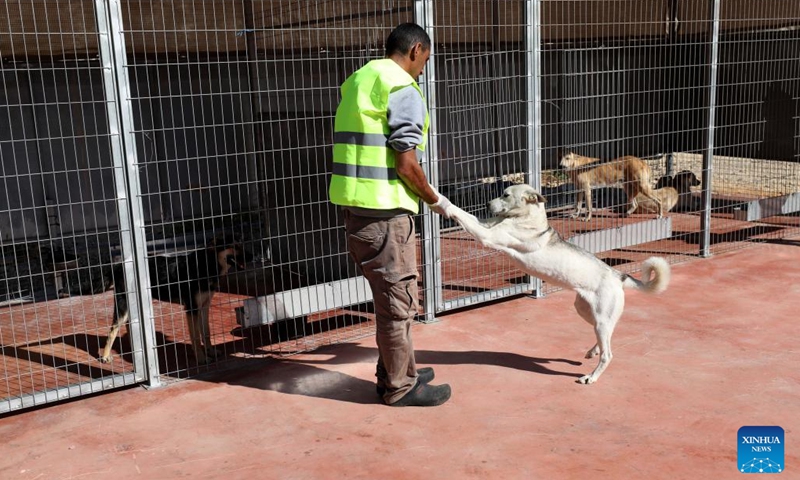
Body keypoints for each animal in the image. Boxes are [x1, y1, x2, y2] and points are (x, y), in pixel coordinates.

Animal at [97, 240, 247, 364]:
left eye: (241, 243)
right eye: (234, 246)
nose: (250, 256)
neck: (207, 264)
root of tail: (118, 265)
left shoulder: (204, 307)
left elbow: (206, 332)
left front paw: (211, 352)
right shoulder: (192, 309)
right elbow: (196, 337)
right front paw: (201, 358)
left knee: (129, 323)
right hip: (123, 304)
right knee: (113, 330)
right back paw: (105, 356)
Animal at [444, 184, 668, 382]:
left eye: (505, 194)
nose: (487, 203)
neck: (528, 218)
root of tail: (618, 275)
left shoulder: (488, 235)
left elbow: (462, 215)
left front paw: (443, 203)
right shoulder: (487, 225)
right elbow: (468, 216)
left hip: (601, 319)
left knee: (608, 354)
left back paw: (591, 377)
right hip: (587, 312)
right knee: (607, 336)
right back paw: (593, 351)